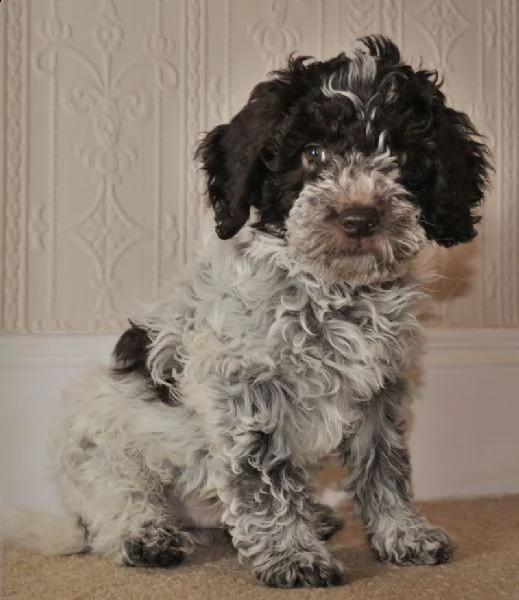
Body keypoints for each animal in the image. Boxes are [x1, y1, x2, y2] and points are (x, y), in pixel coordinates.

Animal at [3, 36, 492, 584]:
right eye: (312, 153)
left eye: (402, 154)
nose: (360, 218)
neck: (329, 292)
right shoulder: (246, 393)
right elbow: (265, 479)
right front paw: (292, 555)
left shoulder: (379, 392)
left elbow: (383, 467)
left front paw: (402, 534)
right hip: (105, 446)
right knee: (117, 501)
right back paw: (146, 535)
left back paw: (313, 516)